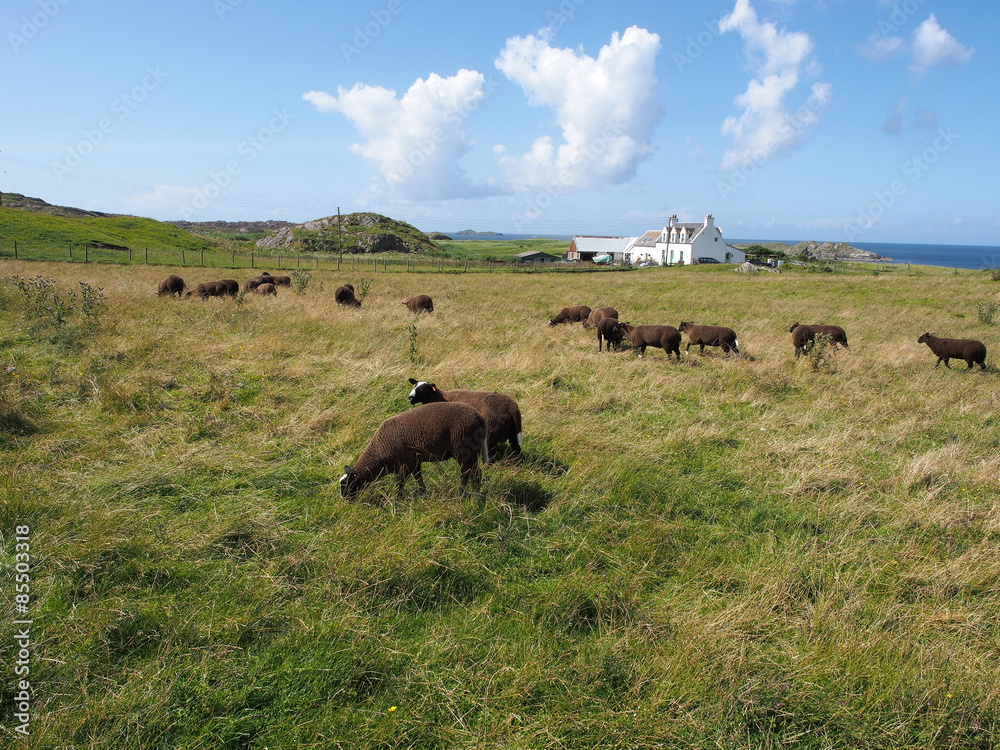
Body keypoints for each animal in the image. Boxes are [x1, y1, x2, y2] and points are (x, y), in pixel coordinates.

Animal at [340, 402, 488, 502]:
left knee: (474, 474)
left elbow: (400, 483)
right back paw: (464, 493)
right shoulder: (414, 461)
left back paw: (474, 497)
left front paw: (398, 499)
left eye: (347, 485)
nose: (345, 501)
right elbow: (418, 478)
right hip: (468, 453)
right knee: (467, 473)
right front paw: (423, 493)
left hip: (464, 451)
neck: (379, 453)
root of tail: (478, 416)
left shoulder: (406, 464)